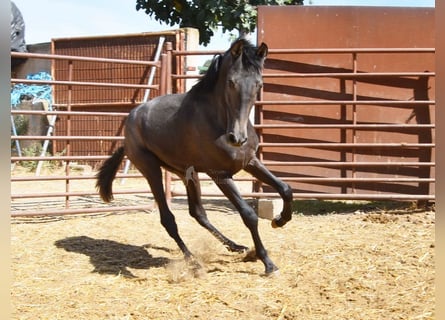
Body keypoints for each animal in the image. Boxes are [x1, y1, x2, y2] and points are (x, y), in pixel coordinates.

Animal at [96, 38, 292, 276]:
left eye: (259, 84)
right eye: (231, 82)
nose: (237, 138)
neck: (218, 121)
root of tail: (130, 122)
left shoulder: (250, 162)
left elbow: (285, 188)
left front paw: (279, 220)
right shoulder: (220, 174)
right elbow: (248, 214)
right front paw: (268, 263)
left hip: (186, 173)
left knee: (197, 212)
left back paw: (235, 246)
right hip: (151, 169)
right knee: (168, 219)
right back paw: (193, 261)